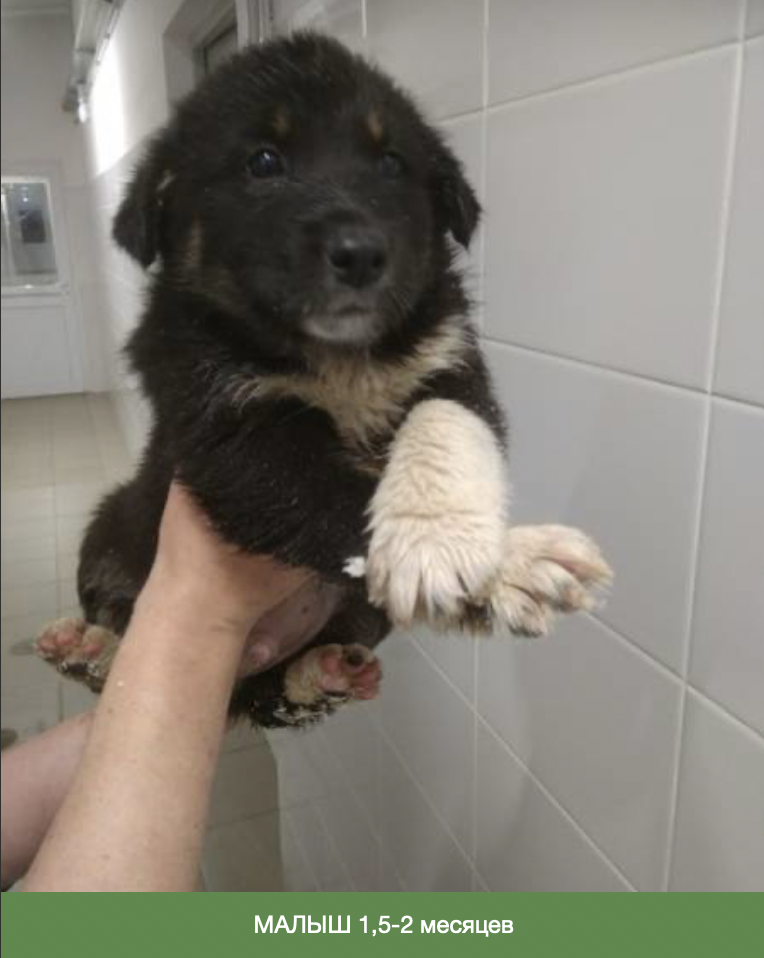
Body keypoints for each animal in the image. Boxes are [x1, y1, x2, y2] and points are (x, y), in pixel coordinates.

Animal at [37, 33, 611, 728]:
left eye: (391, 162)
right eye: (264, 161)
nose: (362, 254)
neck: (339, 356)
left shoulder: (453, 364)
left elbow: (444, 424)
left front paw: (447, 542)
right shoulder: (227, 432)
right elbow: (337, 496)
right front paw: (506, 562)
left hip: (342, 621)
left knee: (279, 693)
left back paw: (326, 672)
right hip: (112, 520)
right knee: (126, 625)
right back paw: (89, 650)